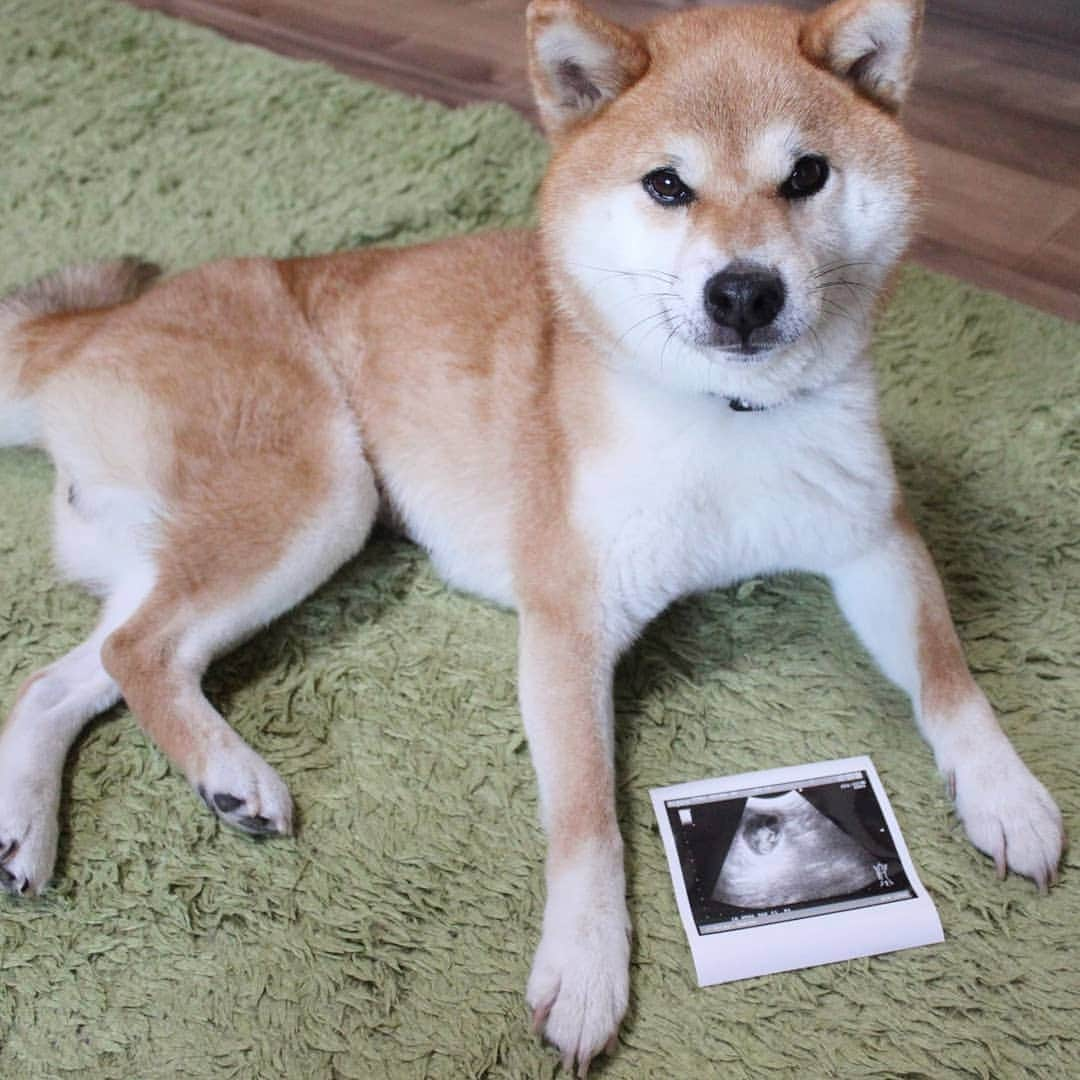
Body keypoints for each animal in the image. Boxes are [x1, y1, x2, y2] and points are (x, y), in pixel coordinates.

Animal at [0, 2, 1062, 1071]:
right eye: (667, 184)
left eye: (806, 174)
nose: (743, 293)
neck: (726, 416)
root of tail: (95, 323)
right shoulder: (567, 621)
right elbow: (587, 818)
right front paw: (587, 965)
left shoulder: (875, 540)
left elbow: (948, 674)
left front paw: (1005, 792)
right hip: (322, 495)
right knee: (140, 652)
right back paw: (227, 774)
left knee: (63, 678)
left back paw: (26, 829)